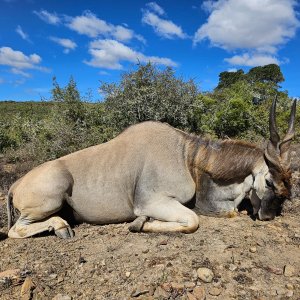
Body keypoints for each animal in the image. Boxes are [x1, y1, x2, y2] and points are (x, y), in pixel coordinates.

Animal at [6, 99, 296, 239]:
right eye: (269, 182)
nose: (268, 216)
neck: (188, 157)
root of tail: (14, 186)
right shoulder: (152, 202)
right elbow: (192, 221)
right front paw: (139, 224)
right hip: (50, 199)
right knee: (14, 230)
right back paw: (61, 228)